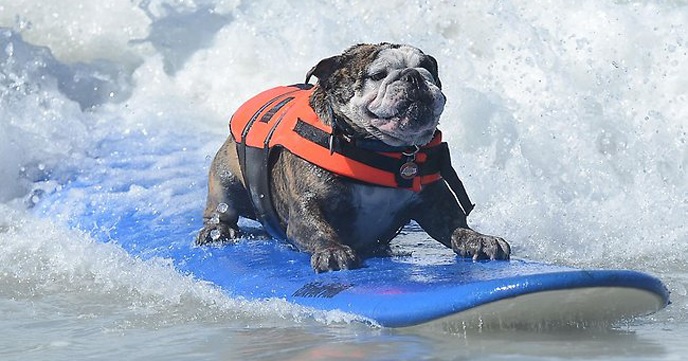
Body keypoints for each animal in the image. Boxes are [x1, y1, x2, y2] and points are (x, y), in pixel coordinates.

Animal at [196, 42, 508, 272]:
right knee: (222, 205)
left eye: (428, 70)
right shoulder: (305, 205)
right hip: (225, 176)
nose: (414, 76)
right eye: (378, 75)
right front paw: (333, 251)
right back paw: (216, 229)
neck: (379, 149)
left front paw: (479, 240)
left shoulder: (434, 200)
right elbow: (316, 226)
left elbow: (454, 222)